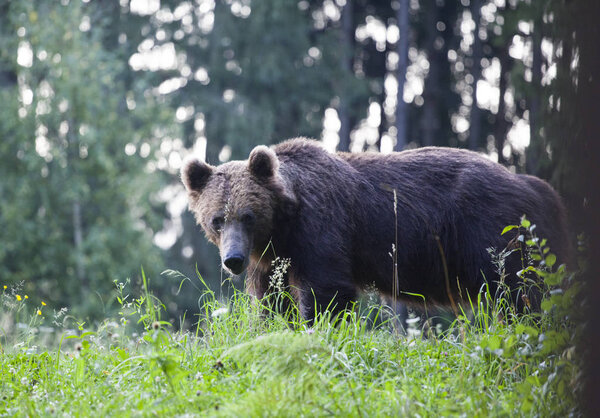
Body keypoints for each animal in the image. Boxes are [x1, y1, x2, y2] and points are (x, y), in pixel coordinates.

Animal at [180, 138, 568, 320]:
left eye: (248, 215)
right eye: (217, 219)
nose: (233, 259)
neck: (285, 224)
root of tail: (537, 186)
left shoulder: (323, 229)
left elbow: (327, 290)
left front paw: (318, 326)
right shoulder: (271, 259)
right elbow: (271, 298)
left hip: (490, 231)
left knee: (518, 292)